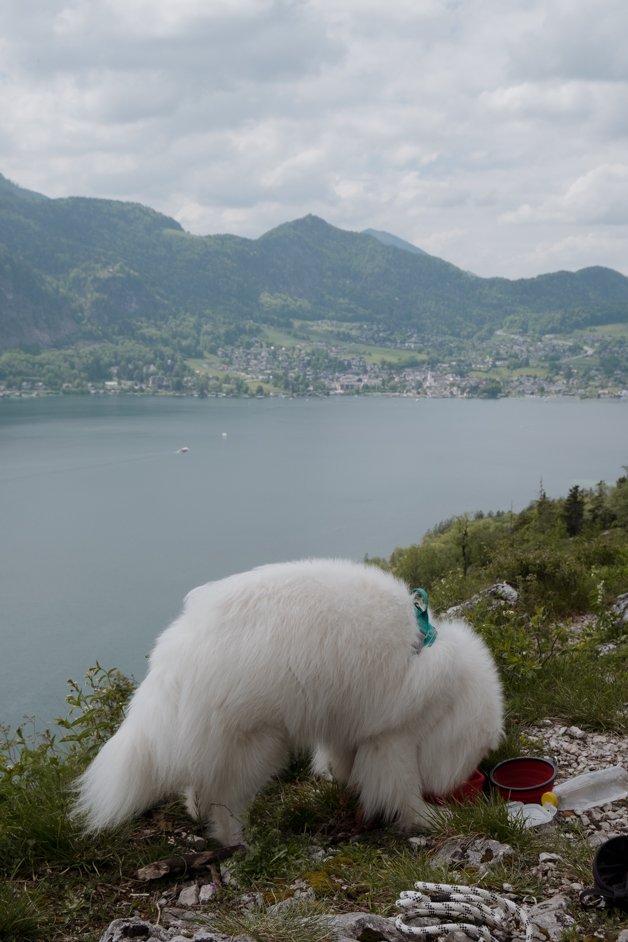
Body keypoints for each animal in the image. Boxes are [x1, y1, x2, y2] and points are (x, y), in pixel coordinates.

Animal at [75, 560, 506, 848]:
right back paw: (238, 842)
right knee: (225, 799)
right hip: (260, 742)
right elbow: (403, 788)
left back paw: (199, 812)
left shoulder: (348, 723)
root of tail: (173, 660)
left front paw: (345, 784)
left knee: (199, 782)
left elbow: (345, 761)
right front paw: (429, 818)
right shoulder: (393, 737)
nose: (470, 783)